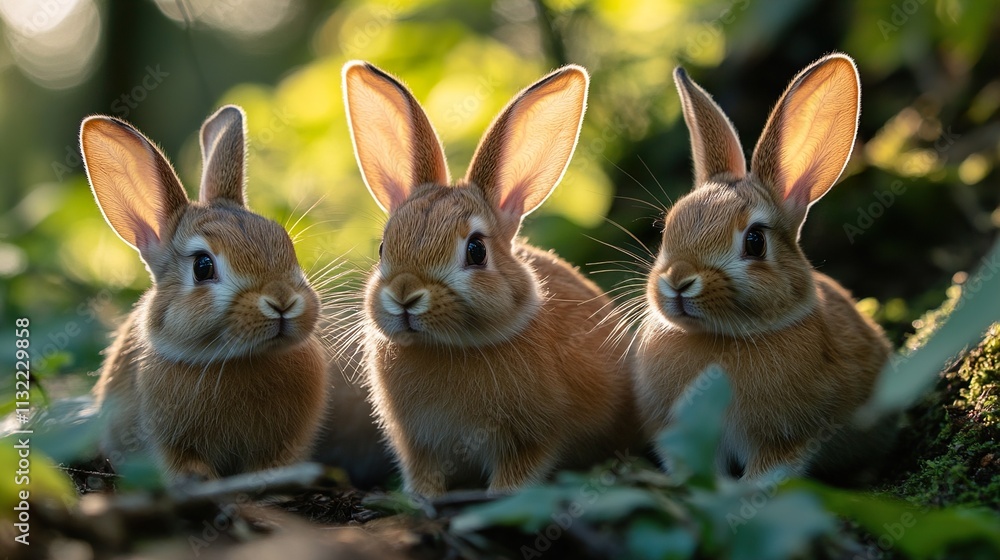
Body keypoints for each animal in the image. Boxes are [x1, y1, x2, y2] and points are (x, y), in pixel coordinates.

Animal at [341, 61, 638, 496]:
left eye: (476, 251)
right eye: (382, 248)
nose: (405, 294)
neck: (445, 348)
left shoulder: (534, 436)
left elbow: (519, 471)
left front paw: (500, 498)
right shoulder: (418, 445)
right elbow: (424, 473)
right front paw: (421, 498)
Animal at [633, 53, 895, 483]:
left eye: (755, 241)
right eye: (667, 226)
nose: (678, 281)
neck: (718, 338)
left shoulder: (786, 439)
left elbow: (767, 475)